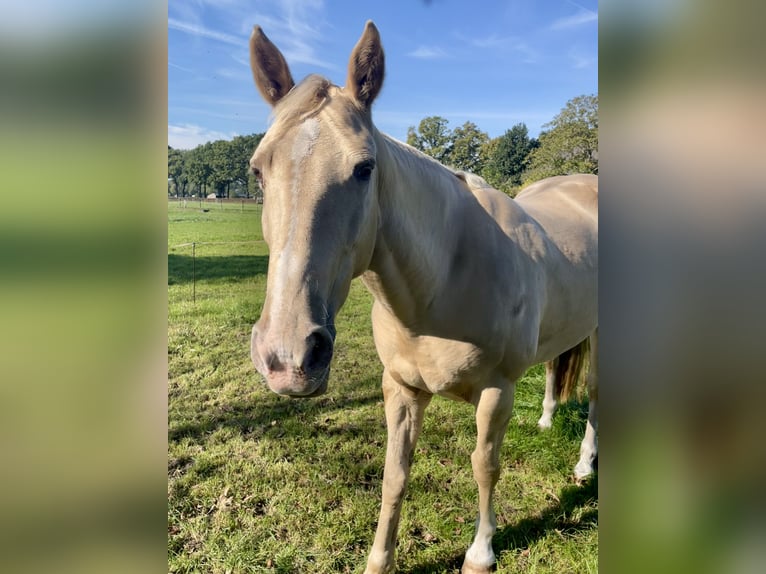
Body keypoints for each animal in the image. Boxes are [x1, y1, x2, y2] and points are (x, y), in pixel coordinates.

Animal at [247, 21, 598, 574]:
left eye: (365, 168)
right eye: (258, 170)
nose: (289, 356)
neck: (443, 281)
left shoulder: (497, 392)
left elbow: (485, 466)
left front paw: (480, 552)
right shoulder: (402, 388)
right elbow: (395, 475)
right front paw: (379, 560)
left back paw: (585, 466)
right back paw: (545, 420)